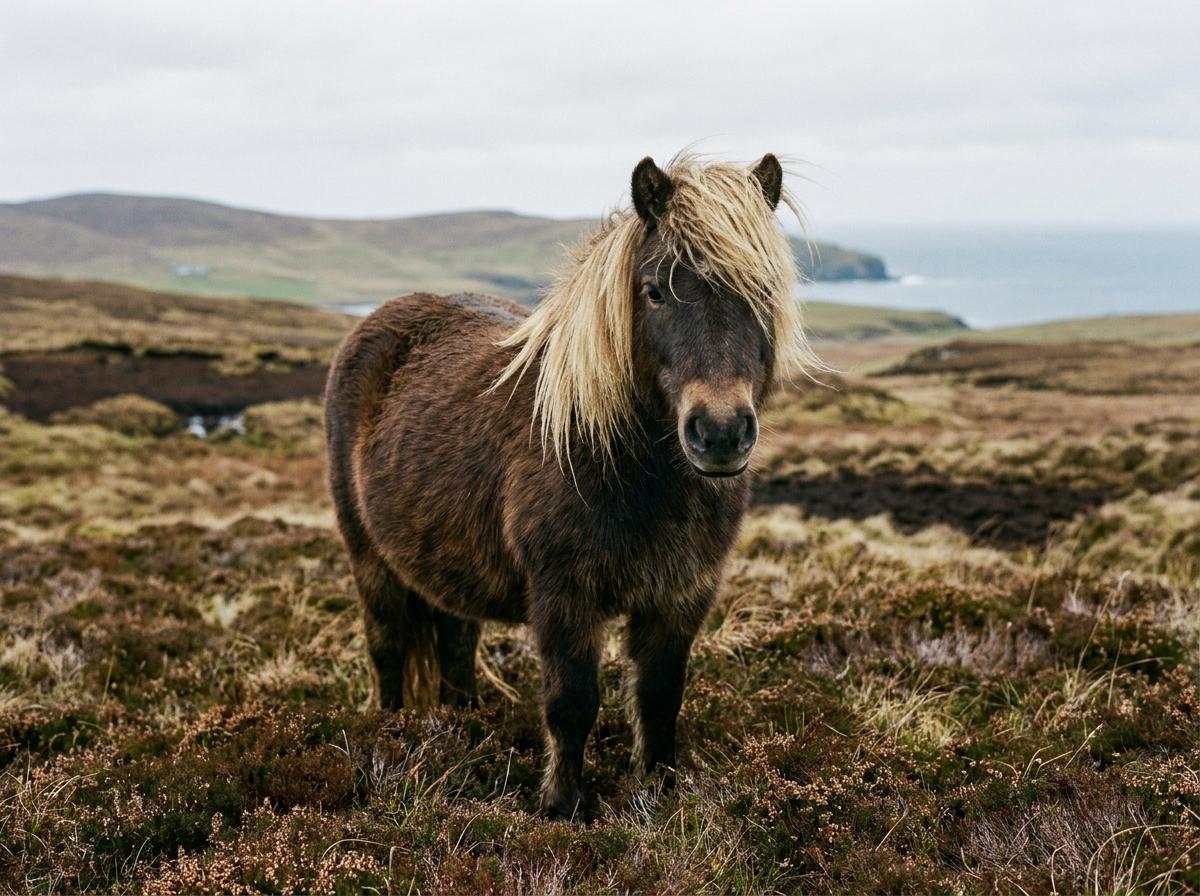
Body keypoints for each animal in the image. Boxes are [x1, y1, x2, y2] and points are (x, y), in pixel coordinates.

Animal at [324, 152, 817, 819]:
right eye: (653, 291)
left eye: (763, 291)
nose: (719, 433)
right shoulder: (564, 598)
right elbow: (572, 704)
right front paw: (561, 809)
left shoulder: (681, 595)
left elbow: (660, 697)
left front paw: (660, 794)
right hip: (369, 557)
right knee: (388, 648)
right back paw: (391, 736)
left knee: (455, 642)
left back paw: (461, 731)